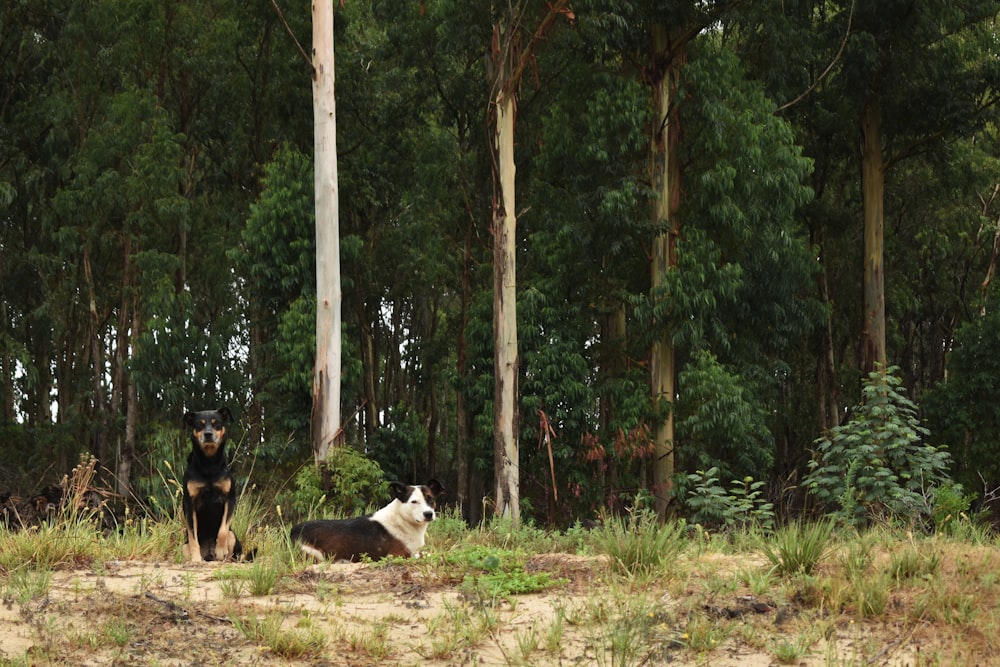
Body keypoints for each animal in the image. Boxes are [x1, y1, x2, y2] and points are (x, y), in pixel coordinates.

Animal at [180, 410, 244, 560]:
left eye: (217, 423)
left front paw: (220, 550)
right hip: (183, 547)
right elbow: (193, 536)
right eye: (199, 424)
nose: (208, 434)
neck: (208, 464)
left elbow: (223, 530)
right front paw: (196, 559)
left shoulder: (229, 499)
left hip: (233, 536)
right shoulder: (190, 504)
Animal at [292, 480, 444, 564]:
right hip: (315, 554)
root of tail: (293, 530)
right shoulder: (397, 556)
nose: (428, 514)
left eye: (430, 498)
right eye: (414, 501)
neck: (402, 519)